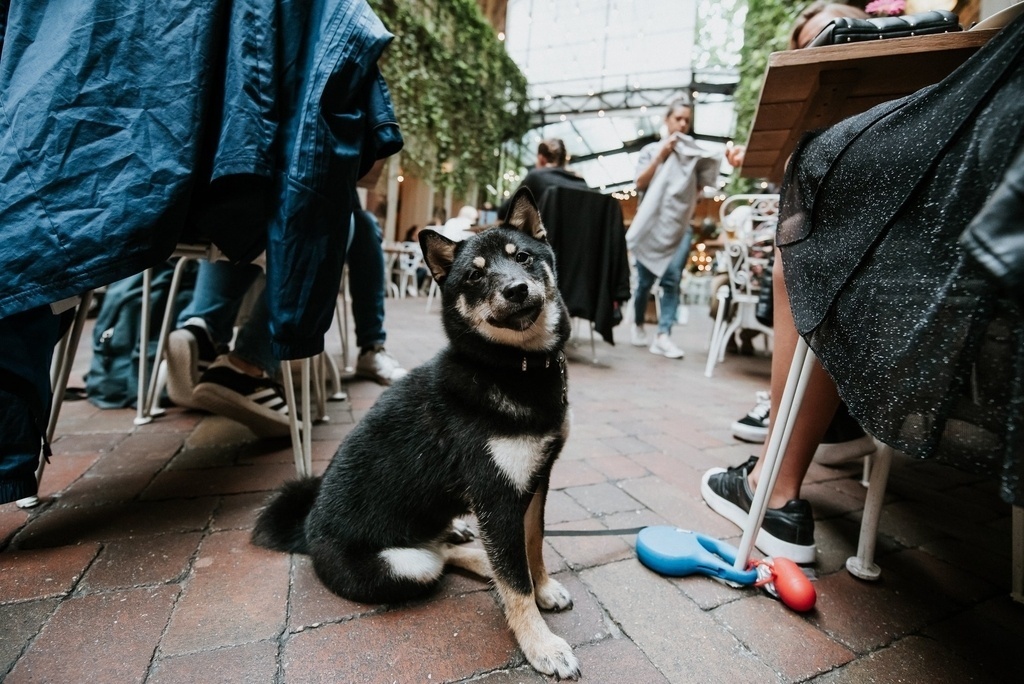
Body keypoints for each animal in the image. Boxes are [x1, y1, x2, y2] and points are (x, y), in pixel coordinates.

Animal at [252, 187, 581, 679]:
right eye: (474, 276)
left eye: (522, 257)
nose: (516, 289)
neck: (512, 370)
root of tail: (305, 533)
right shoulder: (497, 498)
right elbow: (515, 578)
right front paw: (541, 644)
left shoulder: (536, 480)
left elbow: (533, 545)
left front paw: (543, 588)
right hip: (405, 566)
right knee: (441, 559)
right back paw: (480, 560)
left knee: (448, 547)